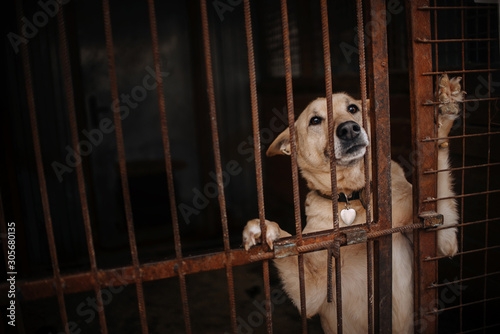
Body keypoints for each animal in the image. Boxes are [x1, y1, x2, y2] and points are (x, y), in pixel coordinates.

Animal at [240, 74, 462, 332]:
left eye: (353, 108)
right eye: (315, 120)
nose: (348, 129)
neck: (350, 198)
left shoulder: (441, 241)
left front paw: (444, 110)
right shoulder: (312, 292)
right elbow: (289, 248)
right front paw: (264, 229)